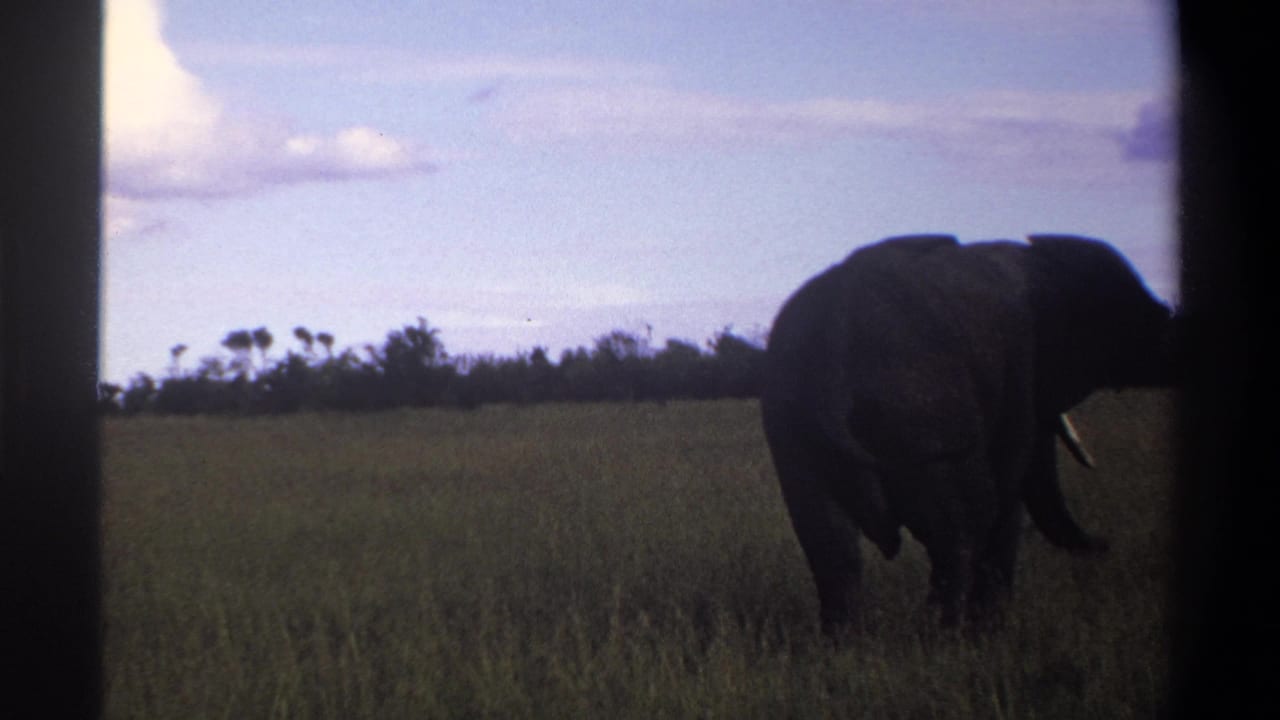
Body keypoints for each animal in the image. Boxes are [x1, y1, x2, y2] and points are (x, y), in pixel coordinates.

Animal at [760, 234, 1177, 632]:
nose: (1108, 543)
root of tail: (835, 339)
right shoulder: (1019, 375)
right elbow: (1010, 490)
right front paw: (991, 630)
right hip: (923, 415)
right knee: (961, 528)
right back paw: (947, 637)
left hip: (794, 431)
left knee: (830, 543)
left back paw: (846, 642)